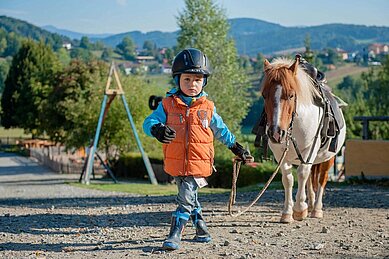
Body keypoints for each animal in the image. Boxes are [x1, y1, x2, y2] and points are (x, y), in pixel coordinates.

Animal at [258, 54, 346, 223]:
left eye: (291, 95)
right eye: (264, 95)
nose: (276, 133)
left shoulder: (309, 149)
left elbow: (302, 173)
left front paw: (299, 209)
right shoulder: (279, 153)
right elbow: (288, 178)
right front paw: (287, 212)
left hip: (328, 158)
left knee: (321, 178)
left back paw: (316, 209)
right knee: (311, 178)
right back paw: (310, 204)